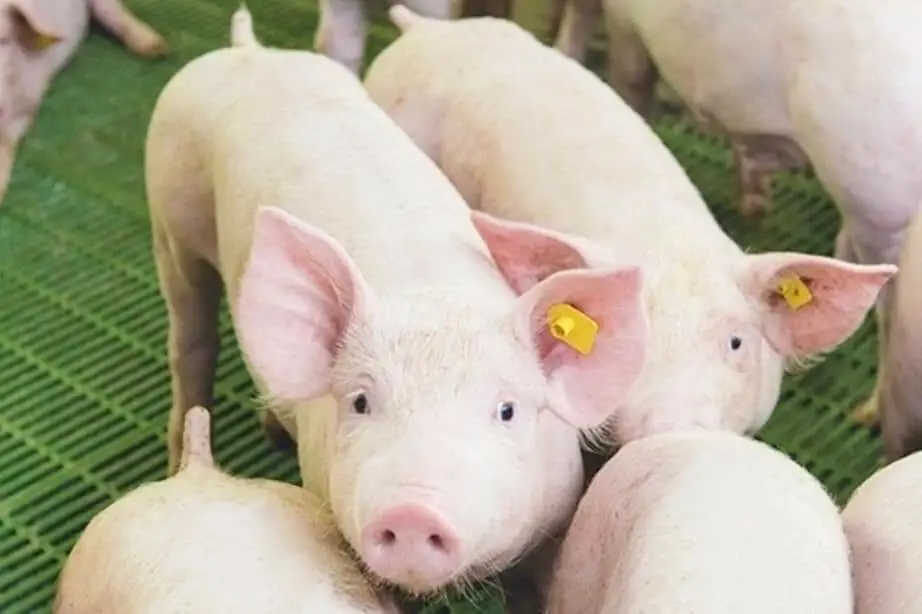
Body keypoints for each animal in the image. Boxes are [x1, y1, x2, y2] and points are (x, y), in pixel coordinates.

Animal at [146, 6, 649, 607]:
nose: (412, 511)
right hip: (168, 215)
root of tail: (250, 52)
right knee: (190, 341)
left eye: (506, 410)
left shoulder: (551, 525)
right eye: (361, 402)